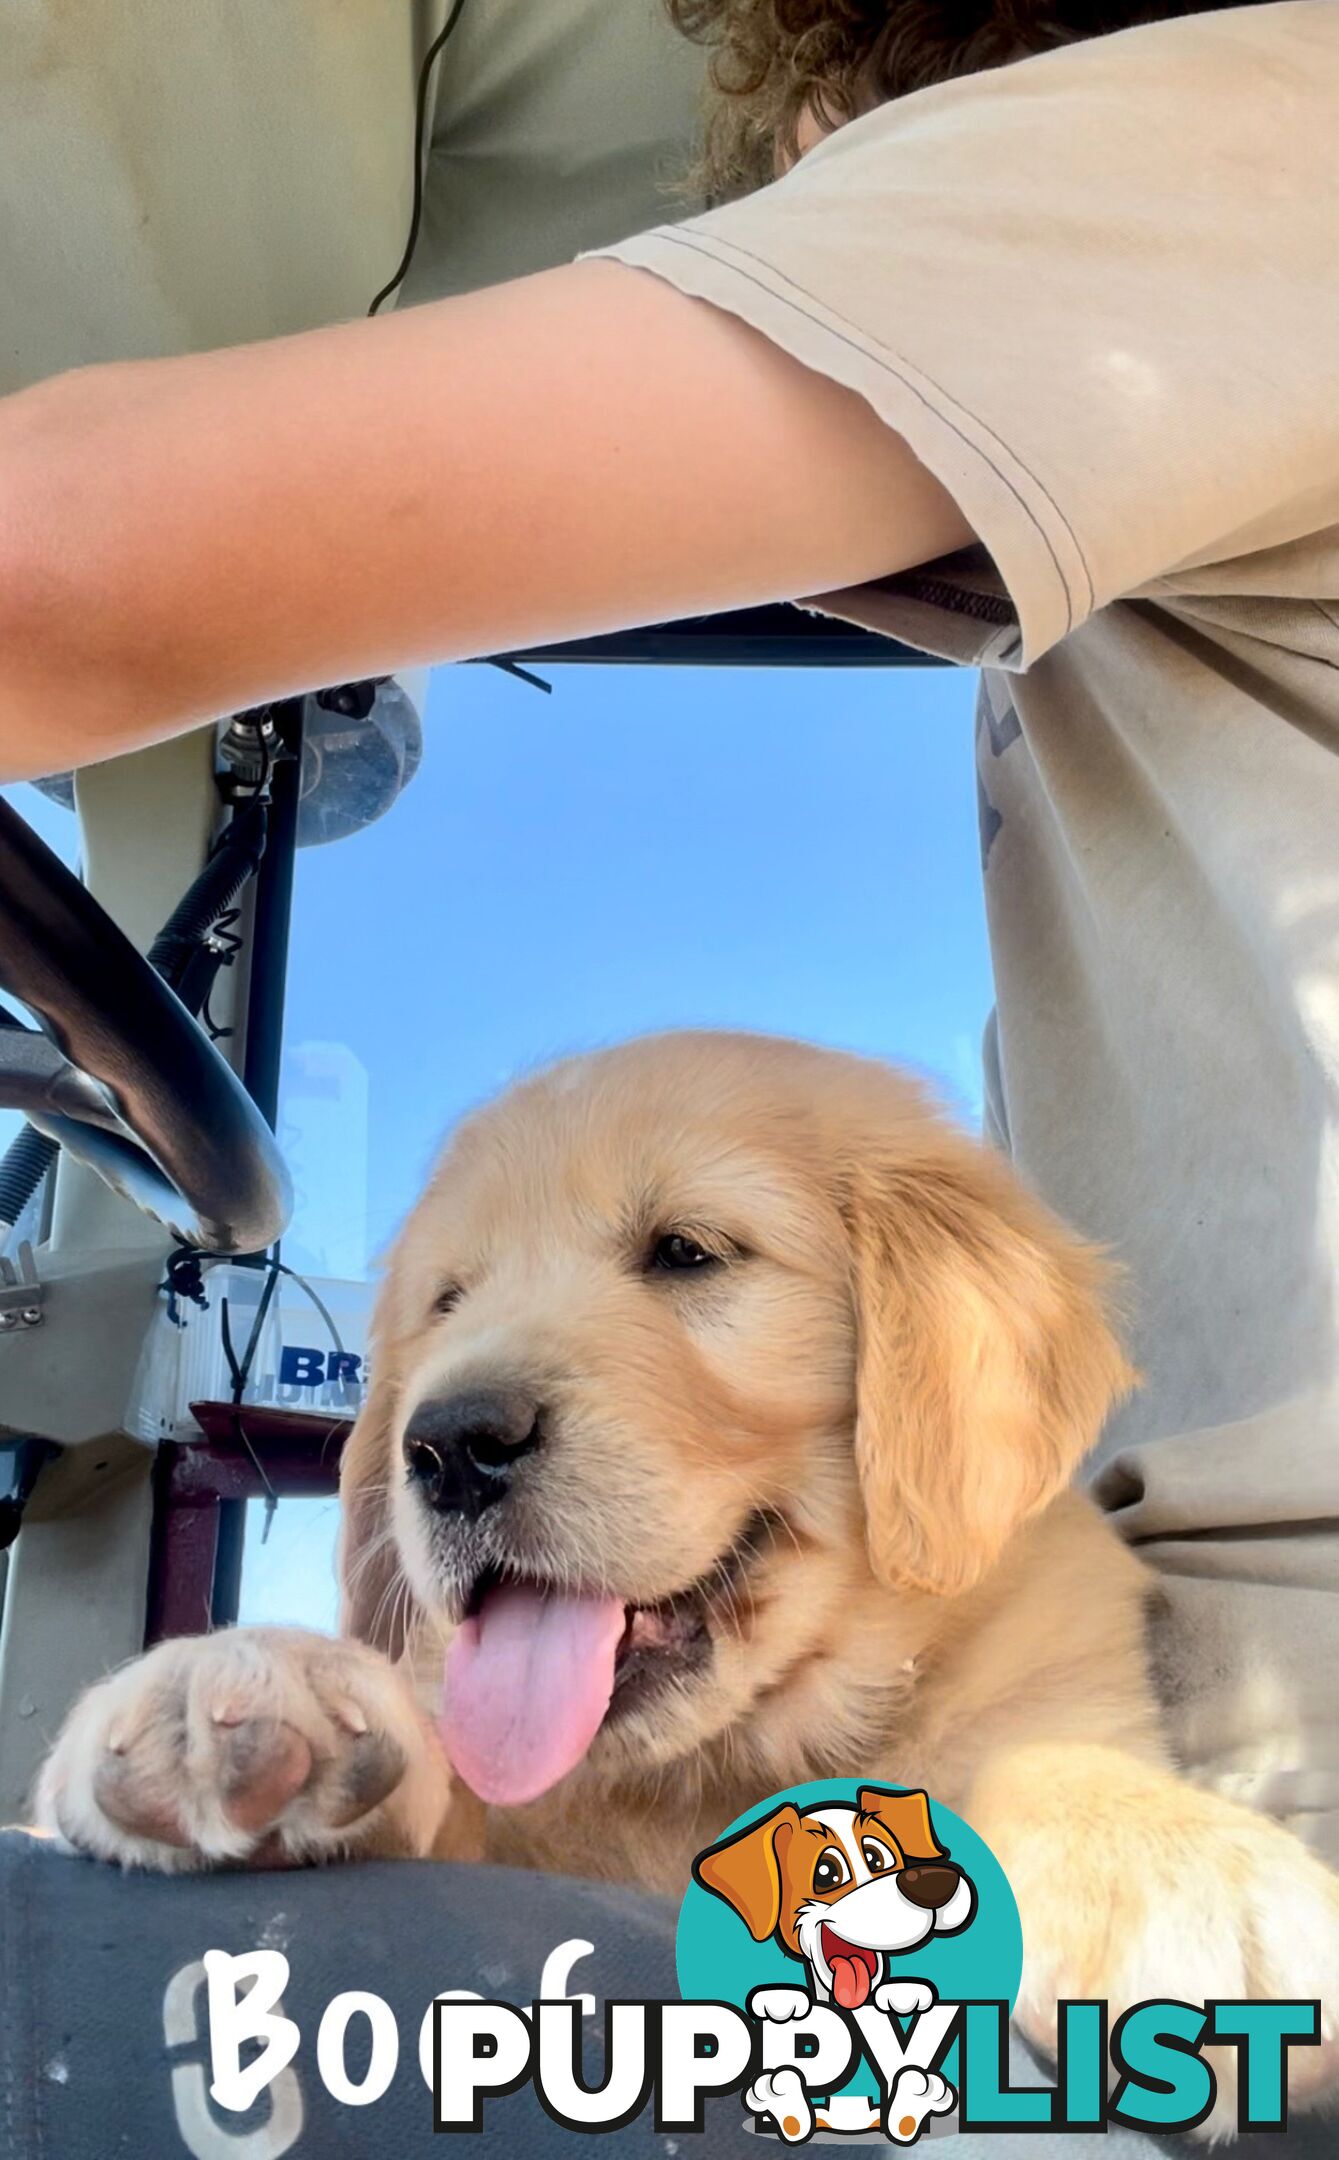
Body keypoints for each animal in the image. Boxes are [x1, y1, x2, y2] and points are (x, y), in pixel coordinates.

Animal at [36, 1036, 1330, 2134]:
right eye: (448, 1302)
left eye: (686, 1253)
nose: (447, 1446)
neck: (721, 1769)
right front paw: (247, 1691)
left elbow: (1041, 1758)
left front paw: (1173, 1867)